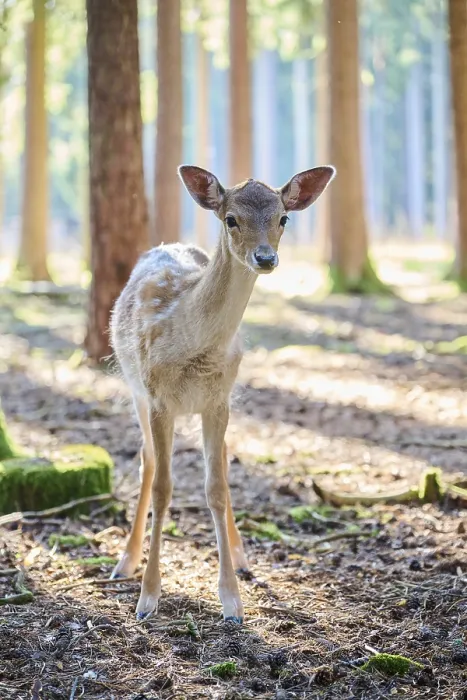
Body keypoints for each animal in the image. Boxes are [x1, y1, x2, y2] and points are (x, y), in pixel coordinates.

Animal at [109, 164, 335, 622]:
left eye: (283, 218)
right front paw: (148, 598)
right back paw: (125, 561)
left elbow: (216, 488)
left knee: (224, 466)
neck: (194, 347)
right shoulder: (158, 398)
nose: (265, 258)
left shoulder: (218, 400)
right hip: (135, 390)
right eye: (231, 218)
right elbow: (163, 487)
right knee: (146, 461)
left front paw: (231, 600)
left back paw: (243, 556)